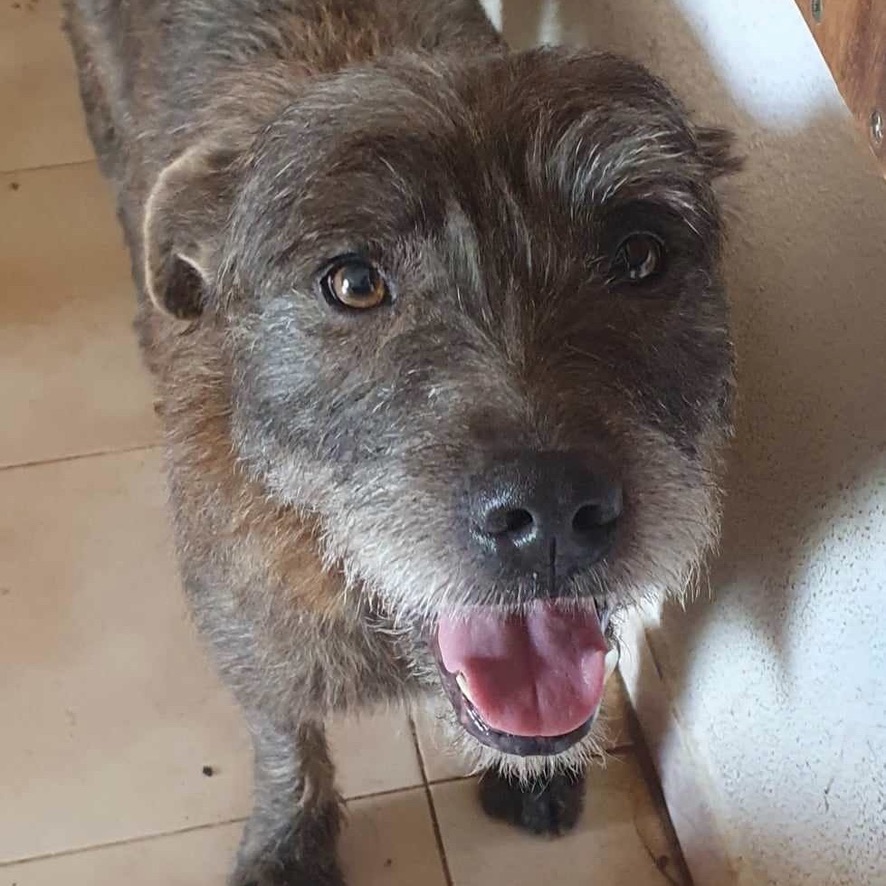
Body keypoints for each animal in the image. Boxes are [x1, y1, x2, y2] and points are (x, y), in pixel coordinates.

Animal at [64, 3, 744, 884]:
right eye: (353, 282)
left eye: (639, 255)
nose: (551, 512)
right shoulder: (250, 639)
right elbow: (285, 735)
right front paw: (290, 839)